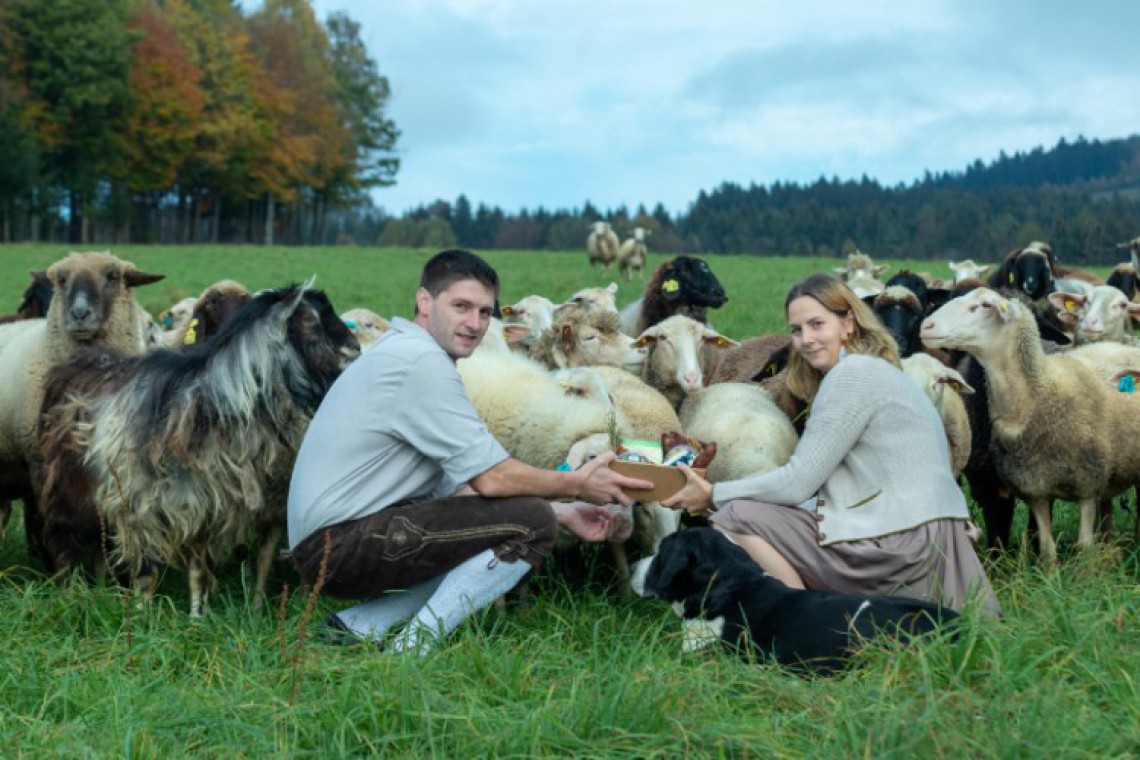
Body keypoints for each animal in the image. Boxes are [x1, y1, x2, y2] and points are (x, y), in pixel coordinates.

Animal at [40, 282, 357, 615]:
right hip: (64, 491)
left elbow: (197, 572)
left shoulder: (201, 508)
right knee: (63, 545)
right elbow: (146, 573)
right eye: (311, 321)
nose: (354, 348)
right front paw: (140, 615)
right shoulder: (140, 505)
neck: (211, 404)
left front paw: (196, 617)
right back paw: (68, 595)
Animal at [916, 288, 1140, 562]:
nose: (926, 326)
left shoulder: (1088, 486)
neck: (1041, 390)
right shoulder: (1035, 490)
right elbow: (1046, 549)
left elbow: (1084, 548)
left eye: (985, 305)